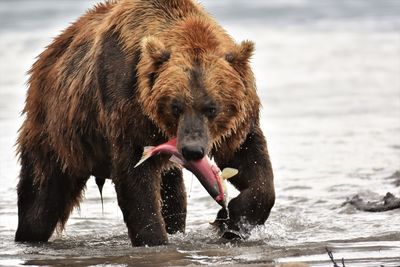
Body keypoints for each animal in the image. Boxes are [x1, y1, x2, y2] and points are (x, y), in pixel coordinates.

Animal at [14, 0, 274, 247]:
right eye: (175, 107)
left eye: (211, 108)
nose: (192, 150)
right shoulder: (127, 105)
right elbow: (136, 180)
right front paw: (154, 239)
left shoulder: (237, 122)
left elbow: (248, 158)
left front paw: (233, 221)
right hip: (57, 134)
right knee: (41, 198)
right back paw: (28, 233)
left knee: (174, 196)